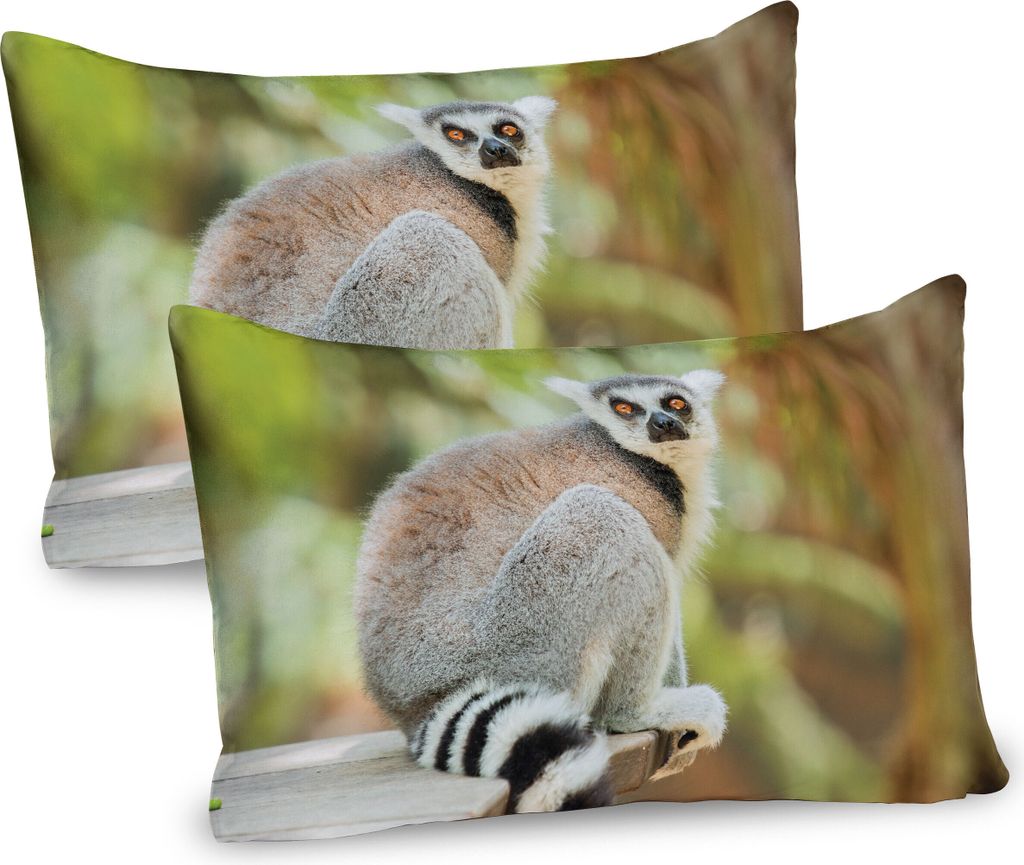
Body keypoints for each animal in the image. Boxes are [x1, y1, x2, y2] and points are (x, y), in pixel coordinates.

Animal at [354, 370, 728, 813]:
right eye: (624, 408)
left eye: (676, 404)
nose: (663, 424)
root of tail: (408, 704)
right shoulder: (641, 499)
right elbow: (661, 578)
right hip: (518, 638)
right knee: (601, 516)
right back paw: (636, 711)